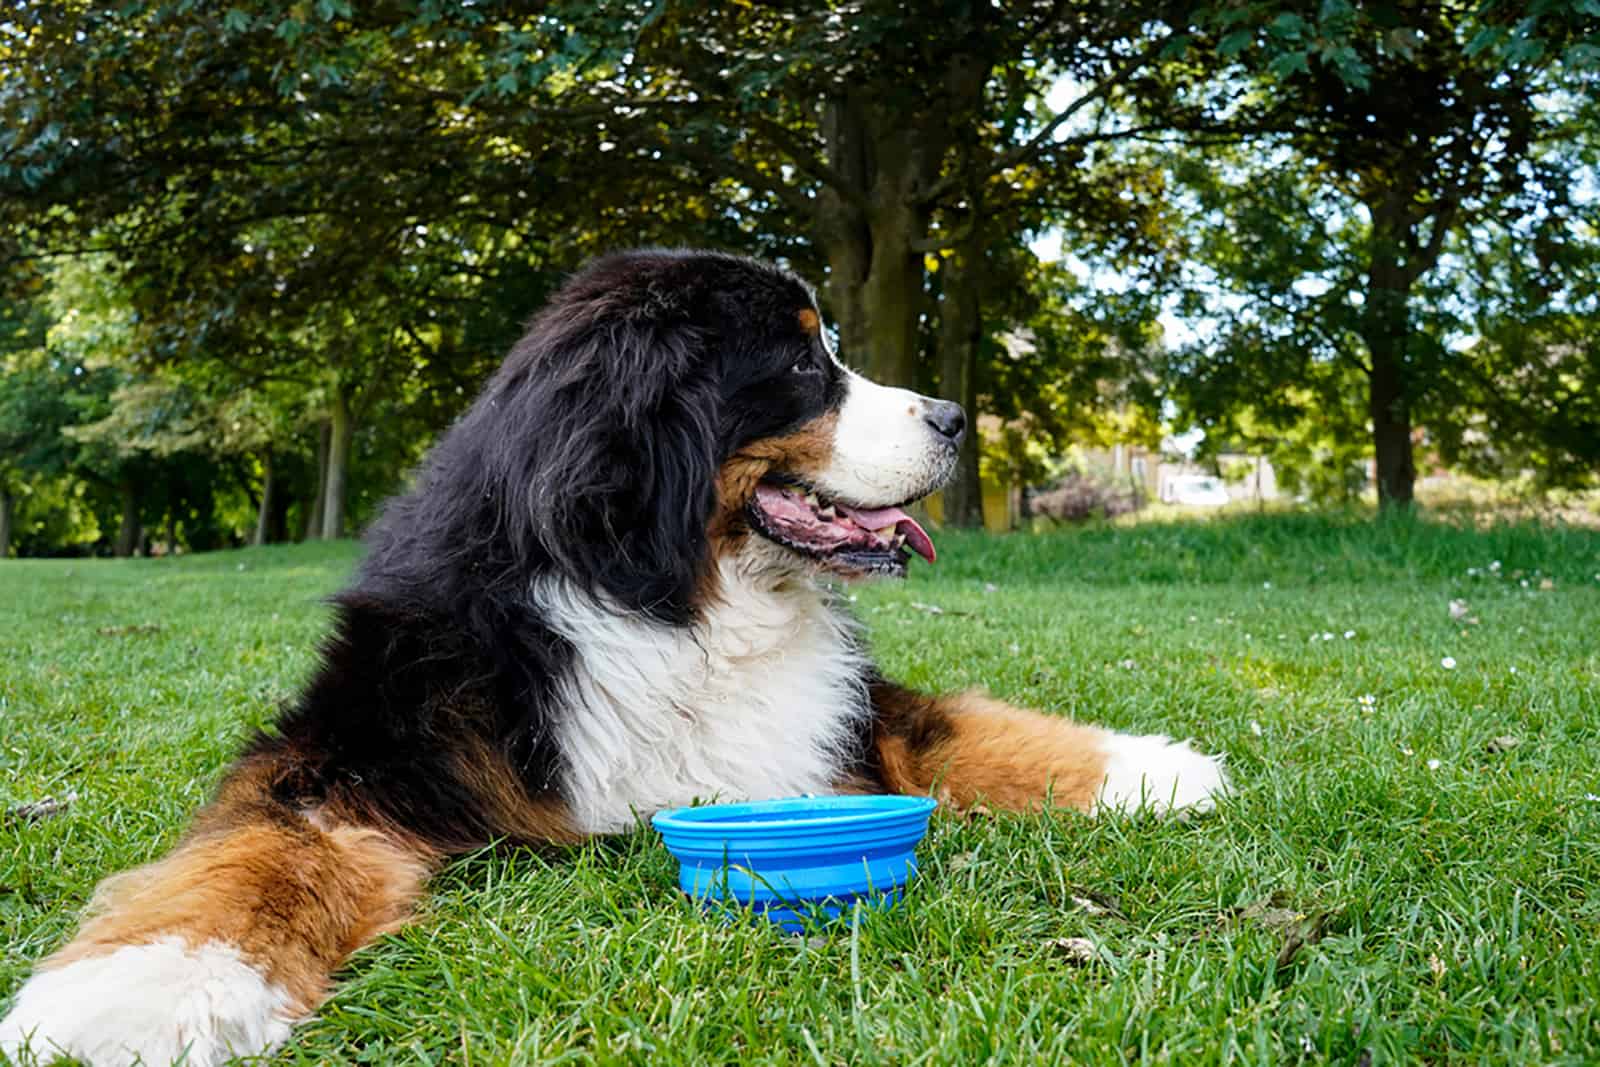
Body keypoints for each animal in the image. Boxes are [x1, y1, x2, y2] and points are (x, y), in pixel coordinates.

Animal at [3, 252, 1222, 1067]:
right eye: (801, 359)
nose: (958, 416)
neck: (671, 594)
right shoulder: (361, 735)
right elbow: (260, 850)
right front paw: (135, 990)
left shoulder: (840, 709)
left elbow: (955, 724)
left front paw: (1150, 768)